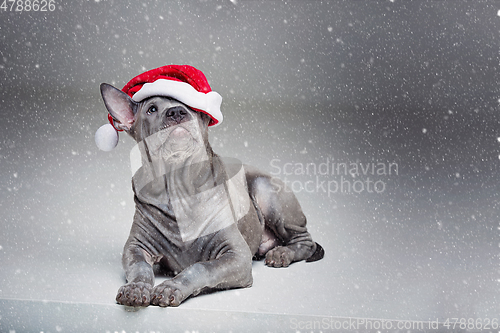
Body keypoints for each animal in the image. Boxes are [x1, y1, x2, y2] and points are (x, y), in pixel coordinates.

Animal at [99, 82, 324, 306]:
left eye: (192, 106)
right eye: (151, 109)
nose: (176, 112)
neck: (177, 186)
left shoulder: (236, 256)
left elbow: (201, 268)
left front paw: (171, 287)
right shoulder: (136, 248)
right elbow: (140, 267)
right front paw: (135, 288)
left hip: (266, 191)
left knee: (305, 241)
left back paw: (282, 253)